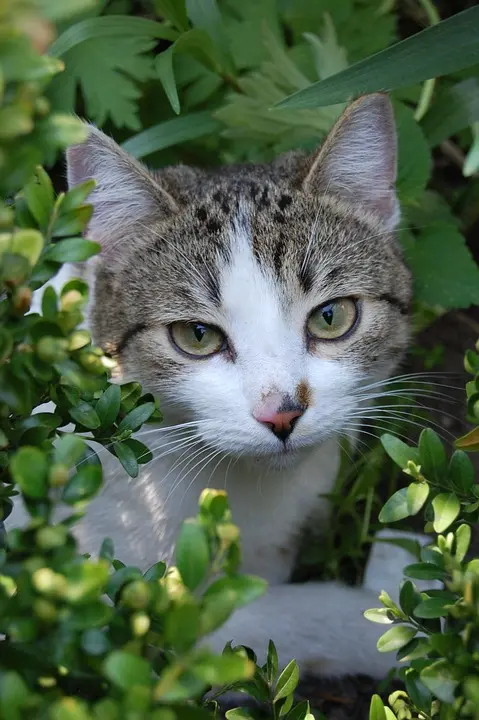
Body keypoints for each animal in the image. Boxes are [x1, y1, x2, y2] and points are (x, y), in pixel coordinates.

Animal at [13, 93, 422, 676]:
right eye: (197, 335)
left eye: (331, 317)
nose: (282, 413)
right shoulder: (117, 619)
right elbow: (250, 622)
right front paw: (391, 622)